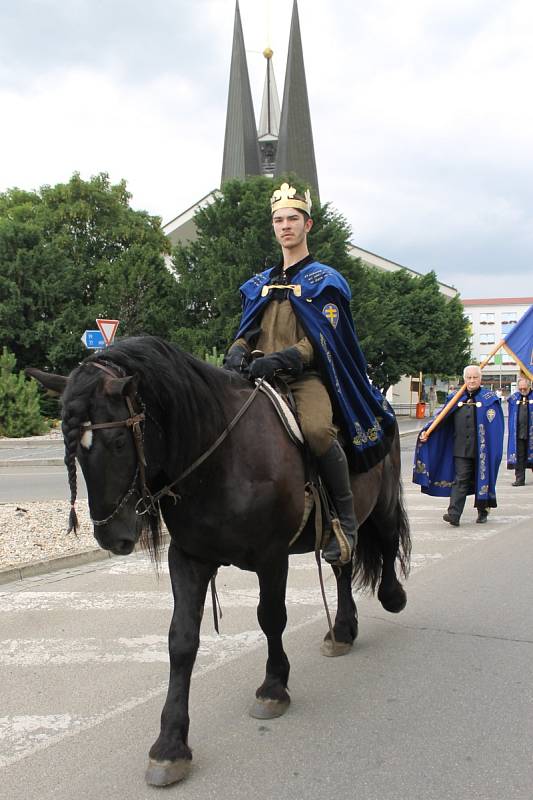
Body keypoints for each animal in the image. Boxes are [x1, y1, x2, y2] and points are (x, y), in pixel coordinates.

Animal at [29, 336, 410, 788]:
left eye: (120, 443)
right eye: (72, 450)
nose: (111, 536)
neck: (222, 458)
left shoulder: (271, 557)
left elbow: (271, 618)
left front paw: (273, 687)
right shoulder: (189, 558)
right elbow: (181, 641)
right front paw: (170, 744)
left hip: (381, 502)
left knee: (385, 540)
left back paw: (392, 597)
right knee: (342, 566)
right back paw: (344, 630)